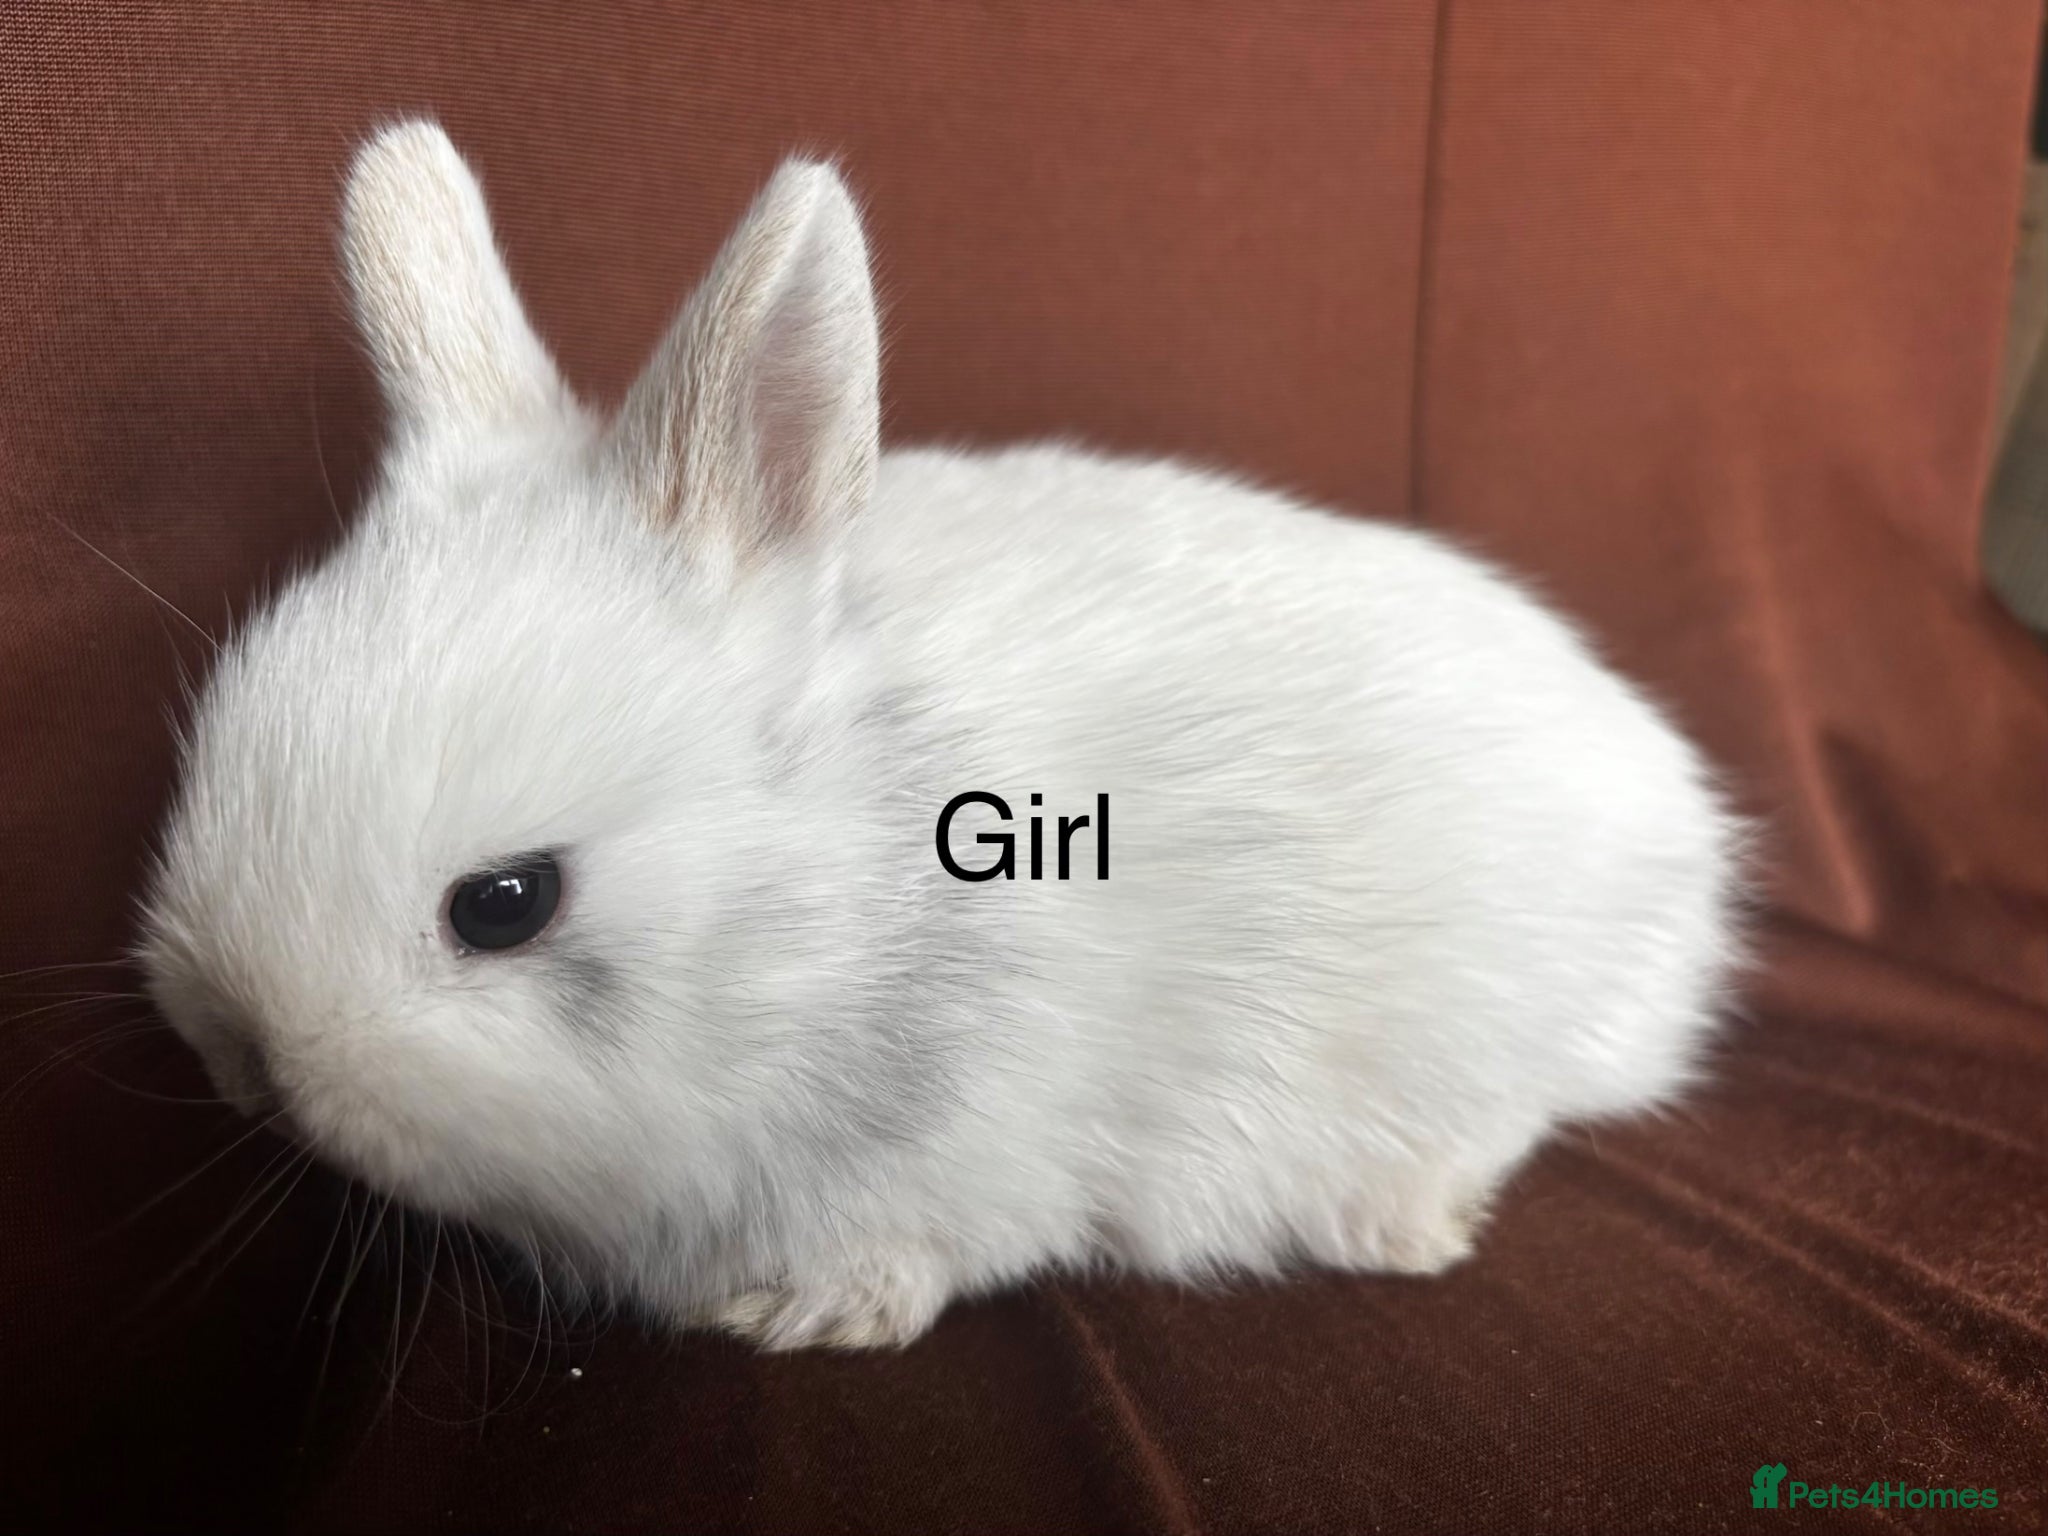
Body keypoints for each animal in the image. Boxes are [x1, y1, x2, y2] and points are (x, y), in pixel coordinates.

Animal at [137, 120, 1743, 1352]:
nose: (240, 1060)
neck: (833, 926)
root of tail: (1683, 819)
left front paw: (802, 1316)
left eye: (505, 903)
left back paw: (1402, 1216)